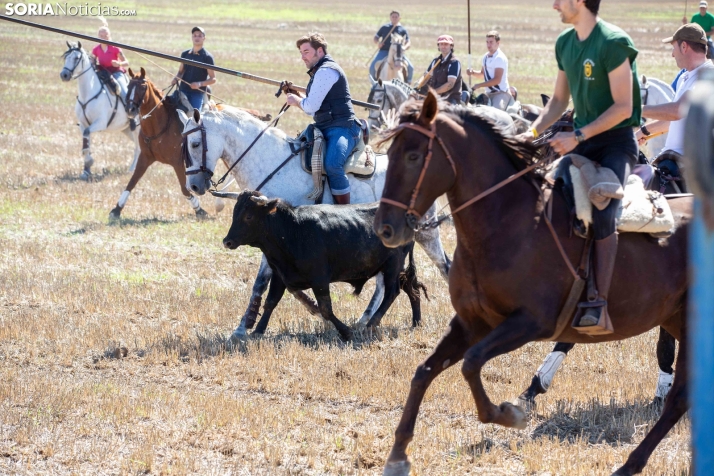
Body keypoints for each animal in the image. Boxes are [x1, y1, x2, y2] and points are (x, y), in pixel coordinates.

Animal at [59, 41, 139, 180]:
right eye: (66, 57)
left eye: (76, 58)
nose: (64, 75)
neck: (88, 93)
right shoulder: (83, 125)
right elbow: (86, 145)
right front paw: (86, 171)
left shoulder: (100, 123)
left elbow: (87, 142)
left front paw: (89, 163)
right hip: (126, 129)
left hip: (137, 129)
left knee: (138, 148)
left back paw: (132, 169)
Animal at [175, 106, 448, 340]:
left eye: (195, 143)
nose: (194, 186)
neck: (272, 163)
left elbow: (262, 282)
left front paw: (245, 327)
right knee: (386, 283)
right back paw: (365, 320)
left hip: (426, 234)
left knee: (442, 267)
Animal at [372, 90, 688, 476]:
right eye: (390, 154)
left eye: (414, 155)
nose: (385, 228)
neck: (509, 222)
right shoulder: (471, 323)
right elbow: (424, 371)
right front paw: (398, 454)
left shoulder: (530, 322)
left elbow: (471, 363)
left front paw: (508, 414)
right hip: (675, 319)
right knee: (680, 396)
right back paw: (631, 463)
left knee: (679, 394)